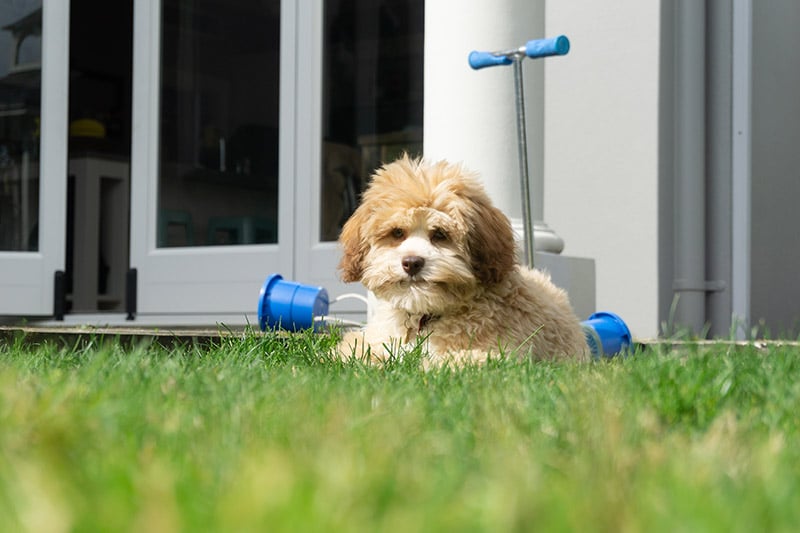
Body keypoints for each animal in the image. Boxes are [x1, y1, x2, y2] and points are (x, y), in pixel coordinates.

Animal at [336, 152, 588, 364]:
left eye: (440, 234)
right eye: (397, 233)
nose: (412, 263)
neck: (423, 318)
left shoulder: (497, 353)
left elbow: (439, 362)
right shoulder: (372, 338)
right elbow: (349, 350)